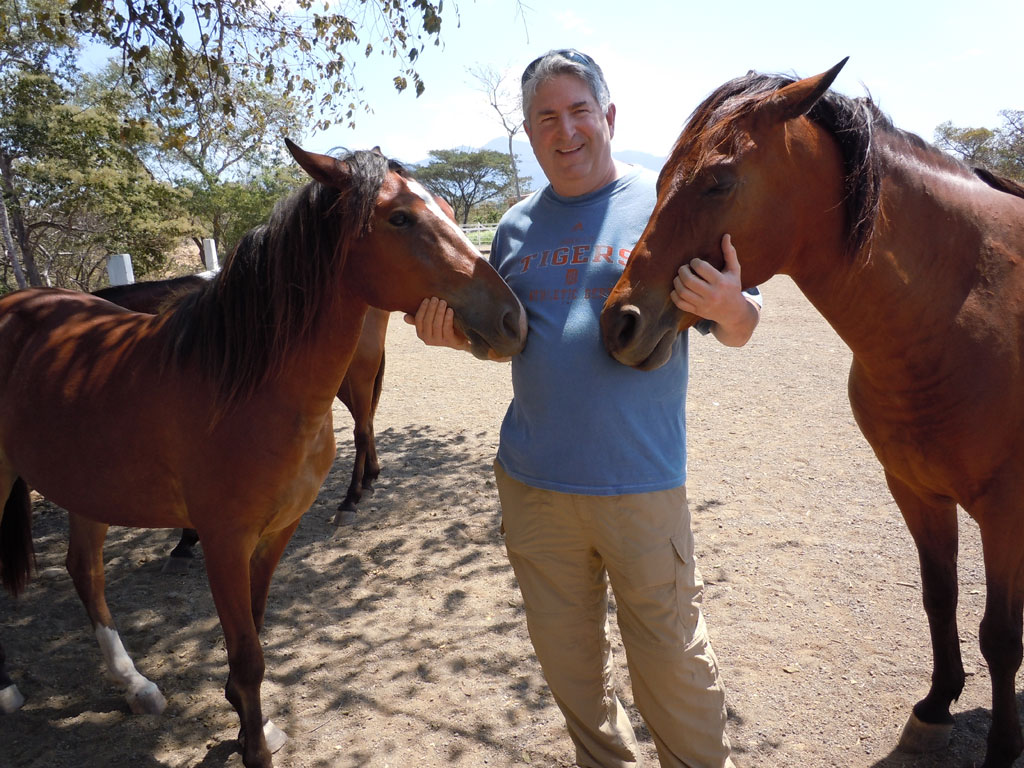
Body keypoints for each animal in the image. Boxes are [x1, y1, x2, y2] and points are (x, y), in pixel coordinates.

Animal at [0, 140, 527, 768]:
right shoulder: (224, 542)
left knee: (86, 573)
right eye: (399, 218)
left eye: (448, 209)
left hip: (89, 490)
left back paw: (137, 685)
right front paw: (253, 745)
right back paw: (9, 690)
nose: (513, 319)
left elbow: (252, 632)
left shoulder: (276, 533)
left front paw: (248, 719)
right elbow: (248, 652)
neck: (246, 386)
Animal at [599, 59, 1024, 768]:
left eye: (718, 180)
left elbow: (1002, 637)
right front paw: (936, 706)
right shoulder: (915, 490)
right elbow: (939, 598)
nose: (618, 323)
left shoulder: (1006, 512)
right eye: (658, 182)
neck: (966, 307)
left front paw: (1000, 748)